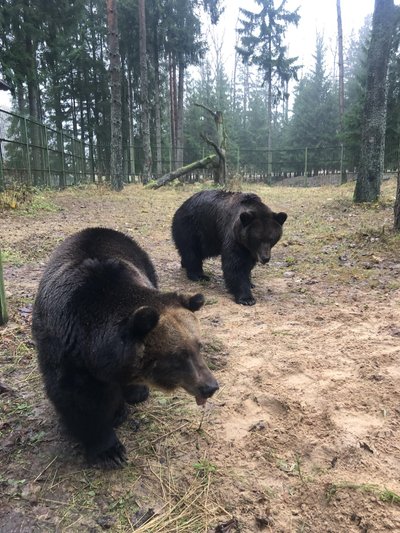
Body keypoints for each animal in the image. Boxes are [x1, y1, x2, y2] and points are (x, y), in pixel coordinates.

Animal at [32, 227, 219, 468]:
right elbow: (79, 400)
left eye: (199, 346)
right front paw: (109, 450)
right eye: (178, 355)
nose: (210, 387)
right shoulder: (65, 351)